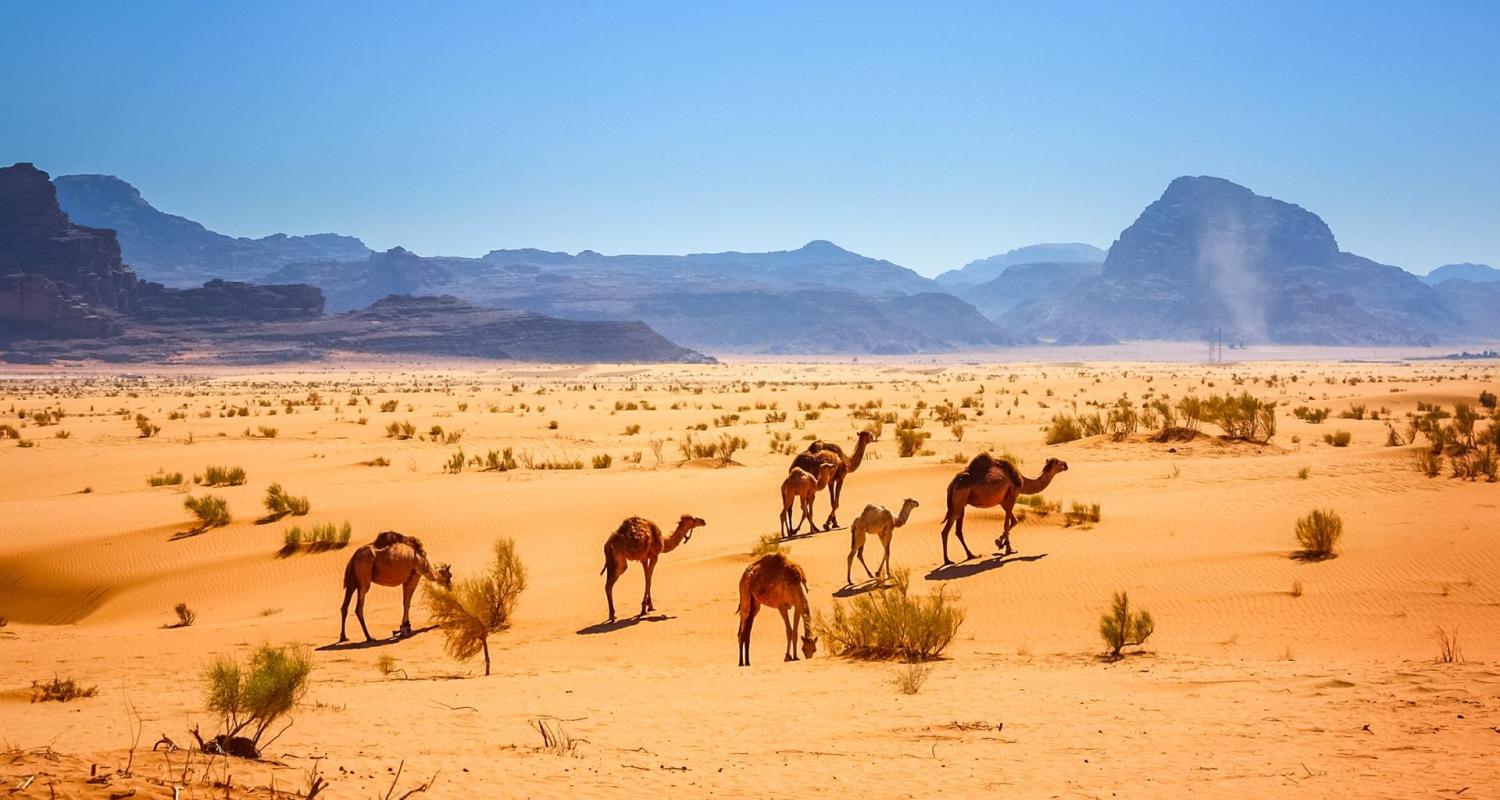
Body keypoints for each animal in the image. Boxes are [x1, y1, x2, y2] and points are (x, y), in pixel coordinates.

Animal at [936, 453, 1068, 564]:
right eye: (1057, 462)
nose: (1066, 464)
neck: (1023, 481)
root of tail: (951, 485)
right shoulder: (1012, 496)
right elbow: (1007, 523)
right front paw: (1006, 547)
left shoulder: (1003, 501)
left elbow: (1014, 521)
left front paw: (1002, 544)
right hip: (958, 503)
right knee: (946, 530)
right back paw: (948, 560)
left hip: (961, 505)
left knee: (958, 530)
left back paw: (971, 555)